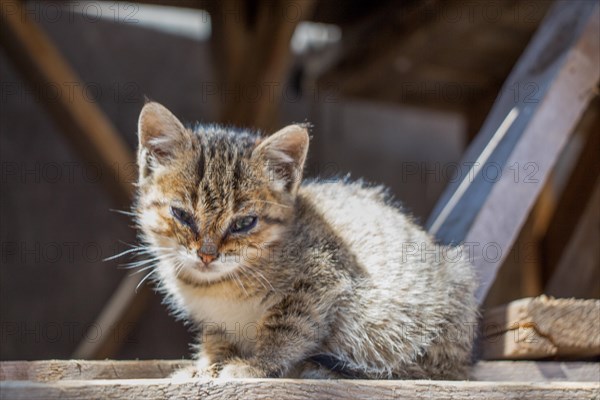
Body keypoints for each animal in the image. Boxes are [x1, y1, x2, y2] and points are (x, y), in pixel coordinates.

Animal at [135, 101, 478, 380]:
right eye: (181, 215)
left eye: (244, 223)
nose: (207, 255)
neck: (214, 287)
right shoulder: (214, 320)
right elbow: (216, 337)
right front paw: (207, 366)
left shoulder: (321, 278)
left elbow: (286, 328)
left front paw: (257, 365)